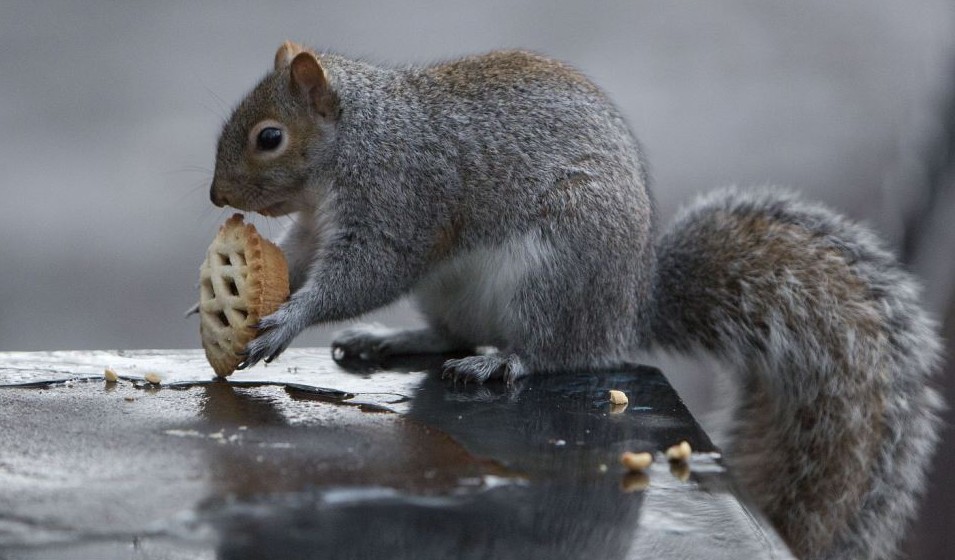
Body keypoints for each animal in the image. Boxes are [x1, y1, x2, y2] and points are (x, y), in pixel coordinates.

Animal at [205, 41, 944, 556]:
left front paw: (288, 320)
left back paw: (502, 361)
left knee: (555, 352)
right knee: (453, 333)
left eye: (269, 137)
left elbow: (368, 273)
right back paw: (399, 339)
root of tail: (629, 307)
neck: (355, 145)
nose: (216, 196)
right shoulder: (315, 225)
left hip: (556, 276)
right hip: (457, 293)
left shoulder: (402, 197)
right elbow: (300, 261)